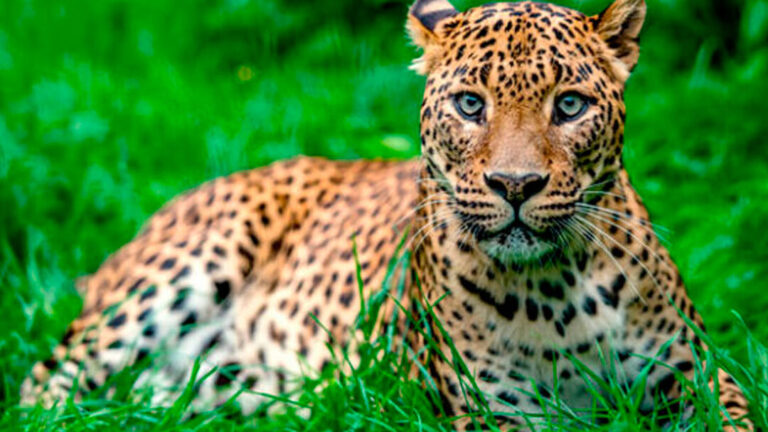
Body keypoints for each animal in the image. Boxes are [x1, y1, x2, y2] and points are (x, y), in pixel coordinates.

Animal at [22, 0, 752, 430]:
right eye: (469, 104)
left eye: (569, 105)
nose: (515, 184)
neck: (556, 293)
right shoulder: (493, 413)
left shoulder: (701, 378)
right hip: (174, 275)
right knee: (43, 384)